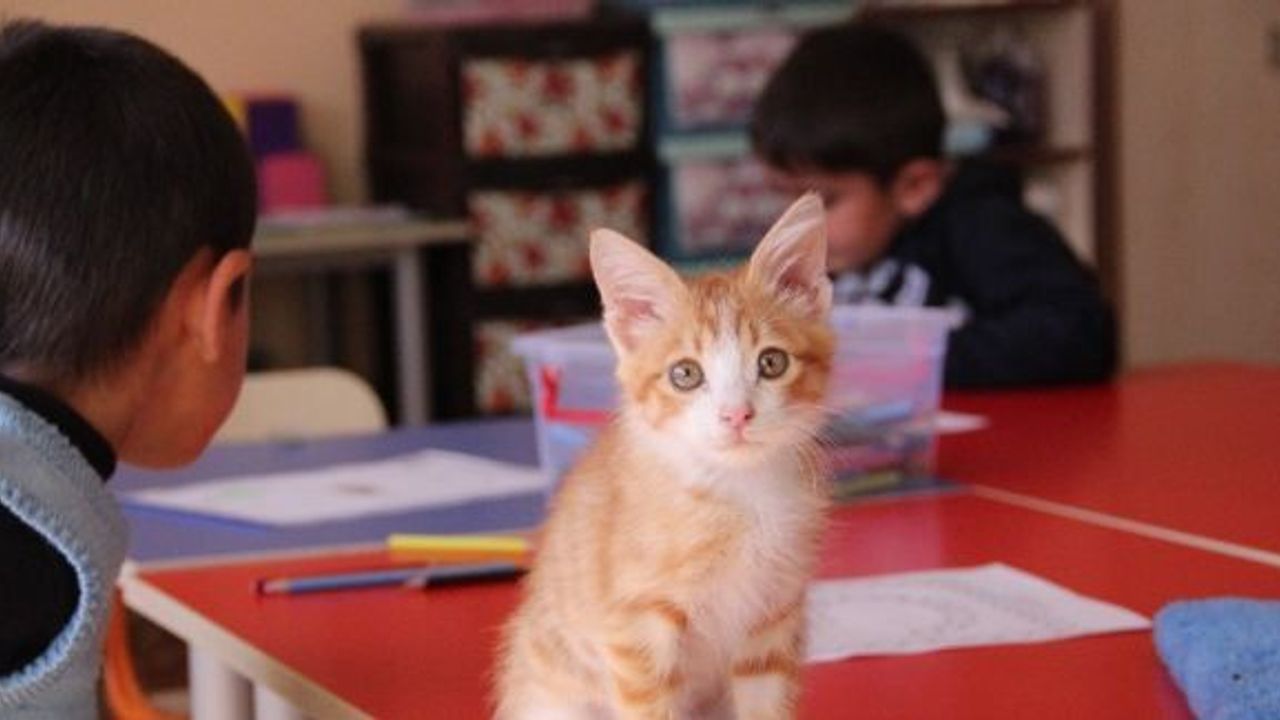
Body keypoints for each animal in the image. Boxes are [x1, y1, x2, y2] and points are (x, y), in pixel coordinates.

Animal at [495, 193, 835, 720]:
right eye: (686, 374)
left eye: (772, 362)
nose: (737, 414)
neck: (737, 495)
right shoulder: (636, 633)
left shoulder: (772, 621)